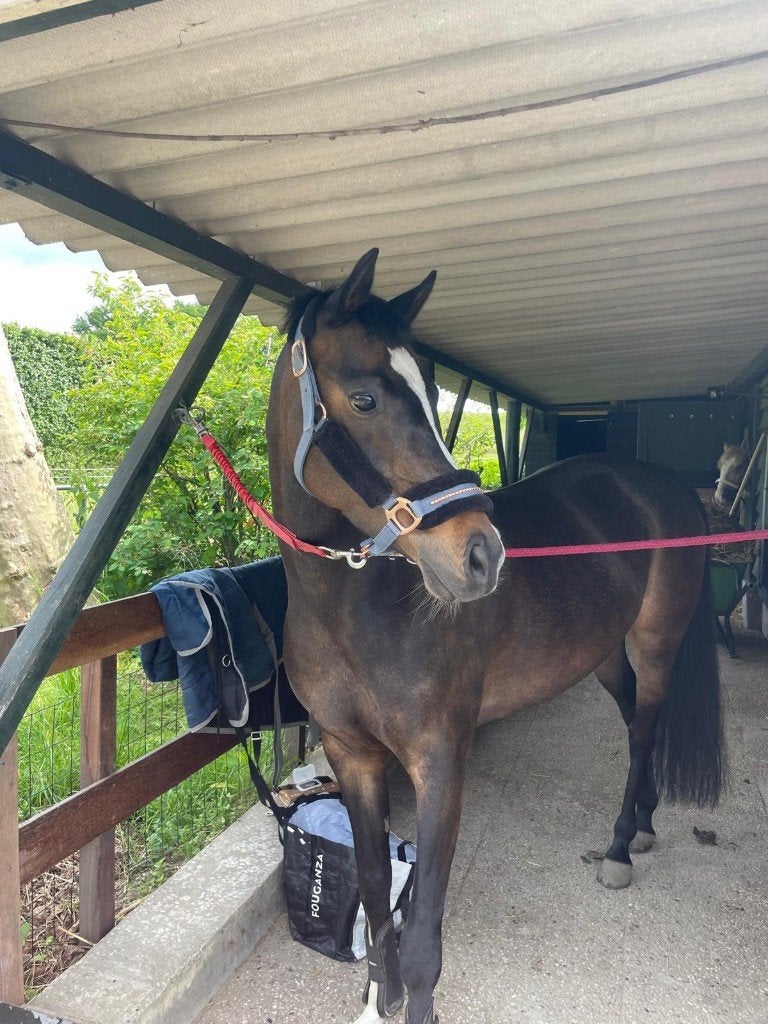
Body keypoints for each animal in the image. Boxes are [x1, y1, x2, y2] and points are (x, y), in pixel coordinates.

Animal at [265, 249, 725, 1024]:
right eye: (365, 399)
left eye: (429, 391)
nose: (481, 555)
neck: (354, 613)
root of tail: (663, 485)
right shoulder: (352, 756)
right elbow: (374, 897)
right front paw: (377, 999)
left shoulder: (441, 762)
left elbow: (423, 936)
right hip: (603, 654)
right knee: (637, 715)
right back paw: (645, 818)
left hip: (657, 644)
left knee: (643, 729)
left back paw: (620, 847)